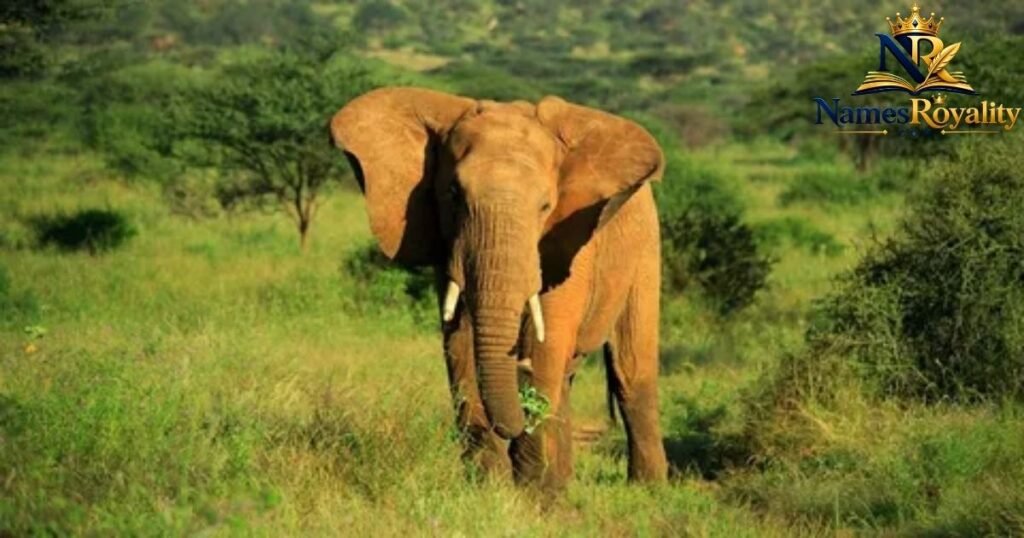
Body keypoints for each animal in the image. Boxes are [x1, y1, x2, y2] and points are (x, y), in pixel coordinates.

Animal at [330, 87, 668, 488]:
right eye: (453, 194)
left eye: (545, 206)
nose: (517, 362)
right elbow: (460, 347)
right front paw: (490, 488)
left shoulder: (568, 242)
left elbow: (545, 346)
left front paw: (533, 493)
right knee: (568, 379)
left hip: (646, 246)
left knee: (630, 371)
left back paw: (647, 488)